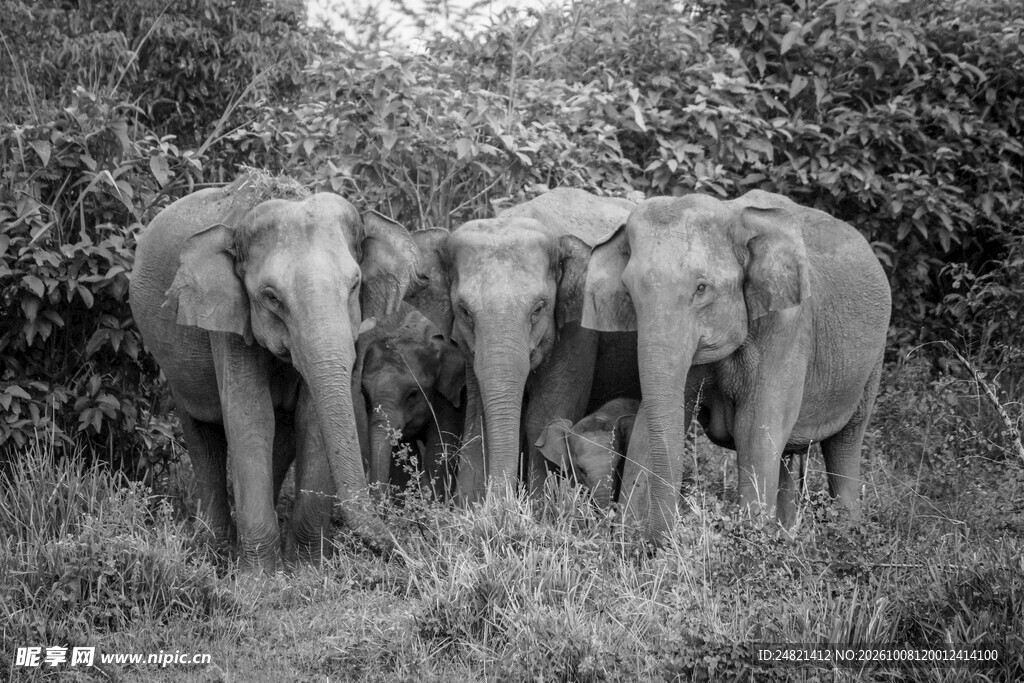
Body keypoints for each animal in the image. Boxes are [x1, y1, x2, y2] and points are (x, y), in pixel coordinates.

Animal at [129, 171, 420, 569]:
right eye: (271, 297)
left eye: (355, 285)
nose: (403, 547)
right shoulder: (228, 320)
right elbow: (250, 417)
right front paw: (260, 576)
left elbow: (309, 418)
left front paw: (307, 568)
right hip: (175, 366)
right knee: (202, 434)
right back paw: (213, 551)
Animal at [417, 188, 641, 504]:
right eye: (464, 311)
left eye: (538, 308)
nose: (502, 502)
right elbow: (477, 415)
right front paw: (470, 507)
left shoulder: (579, 329)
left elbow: (544, 414)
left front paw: (539, 508)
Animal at [581, 189, 891, 539]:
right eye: (629, 293)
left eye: (702, 288)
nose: (663, 537)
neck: (733, 214)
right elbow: (653, 420)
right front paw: (626, 538)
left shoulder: (788, 325)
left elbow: (754, 428)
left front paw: (751, 539)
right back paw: (787, 536)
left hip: (873, 361)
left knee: (845, 443)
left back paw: (847, 534)